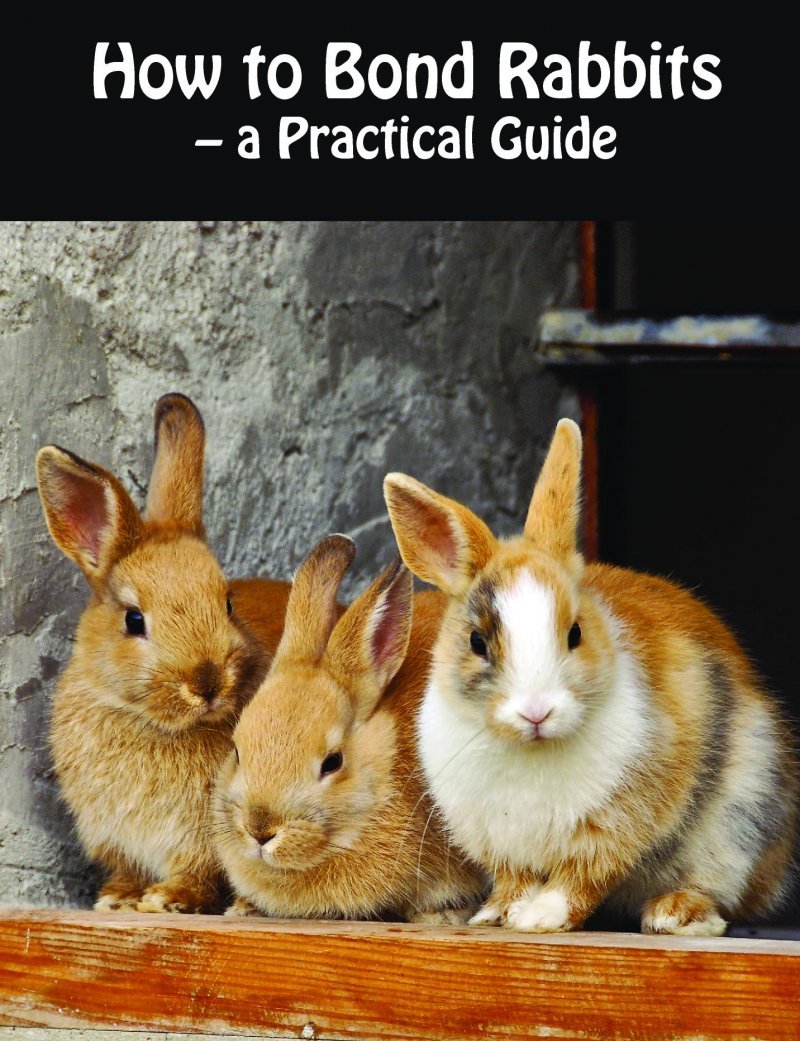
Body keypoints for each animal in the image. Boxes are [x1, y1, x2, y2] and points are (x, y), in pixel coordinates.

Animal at [36, 393, 291, 913]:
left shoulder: (204, 840)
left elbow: (199, 872)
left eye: (227, 602)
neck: (151, 722)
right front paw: (117, 898)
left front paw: (167, 900)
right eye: (134, 620)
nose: (207, 682)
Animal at [383, 418, 799, 935]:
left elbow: (581, 876)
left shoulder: (613, 824)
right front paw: (496, 915)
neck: (531, 750)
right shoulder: (499, 841)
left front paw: (540, 918)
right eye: (477, 641)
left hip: (738, 824)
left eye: (575, 633)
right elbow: (514, 879)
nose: (536, 711)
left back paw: (674, 915)